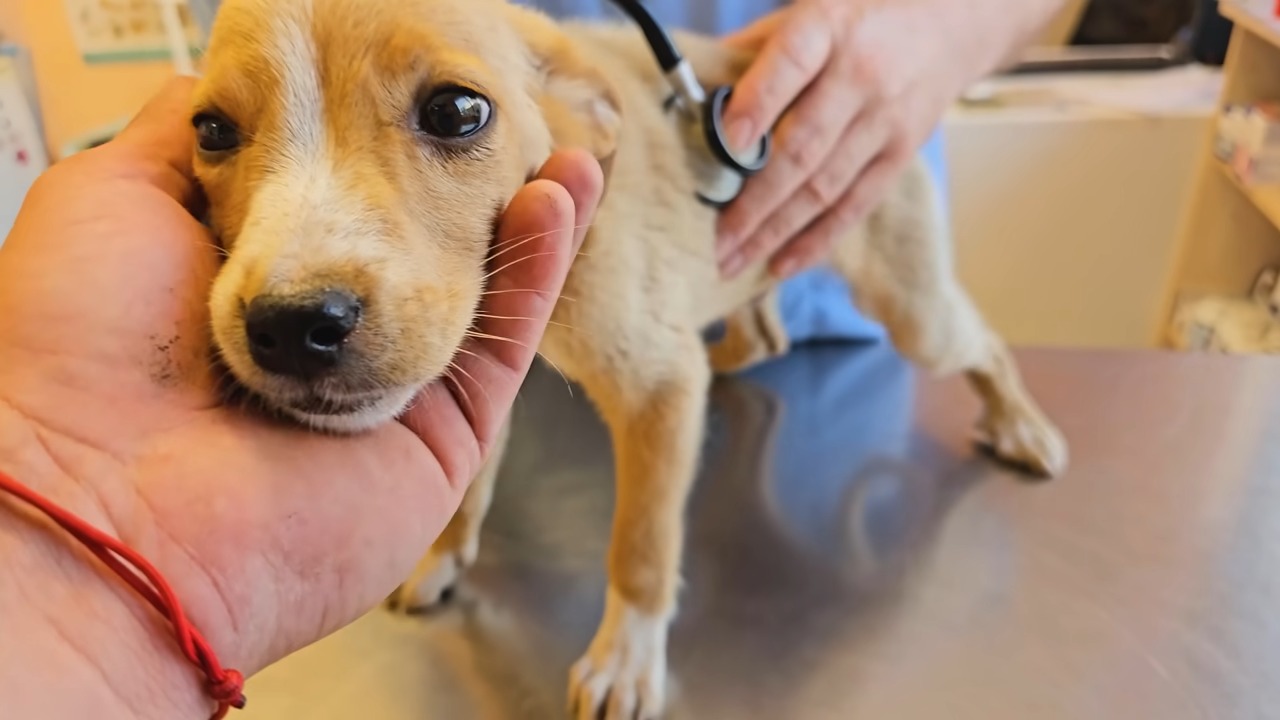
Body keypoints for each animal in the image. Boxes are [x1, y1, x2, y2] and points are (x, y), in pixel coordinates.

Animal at [192, 2, 1070, 712]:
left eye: (457, 110)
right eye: (210, 130)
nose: (293, 325)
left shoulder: (657, 385)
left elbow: (642, 545)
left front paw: (624, 660)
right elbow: (472, 482)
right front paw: (443, 557)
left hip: (912, 306)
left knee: (981, 341)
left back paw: (1023, 428)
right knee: (768, 328)